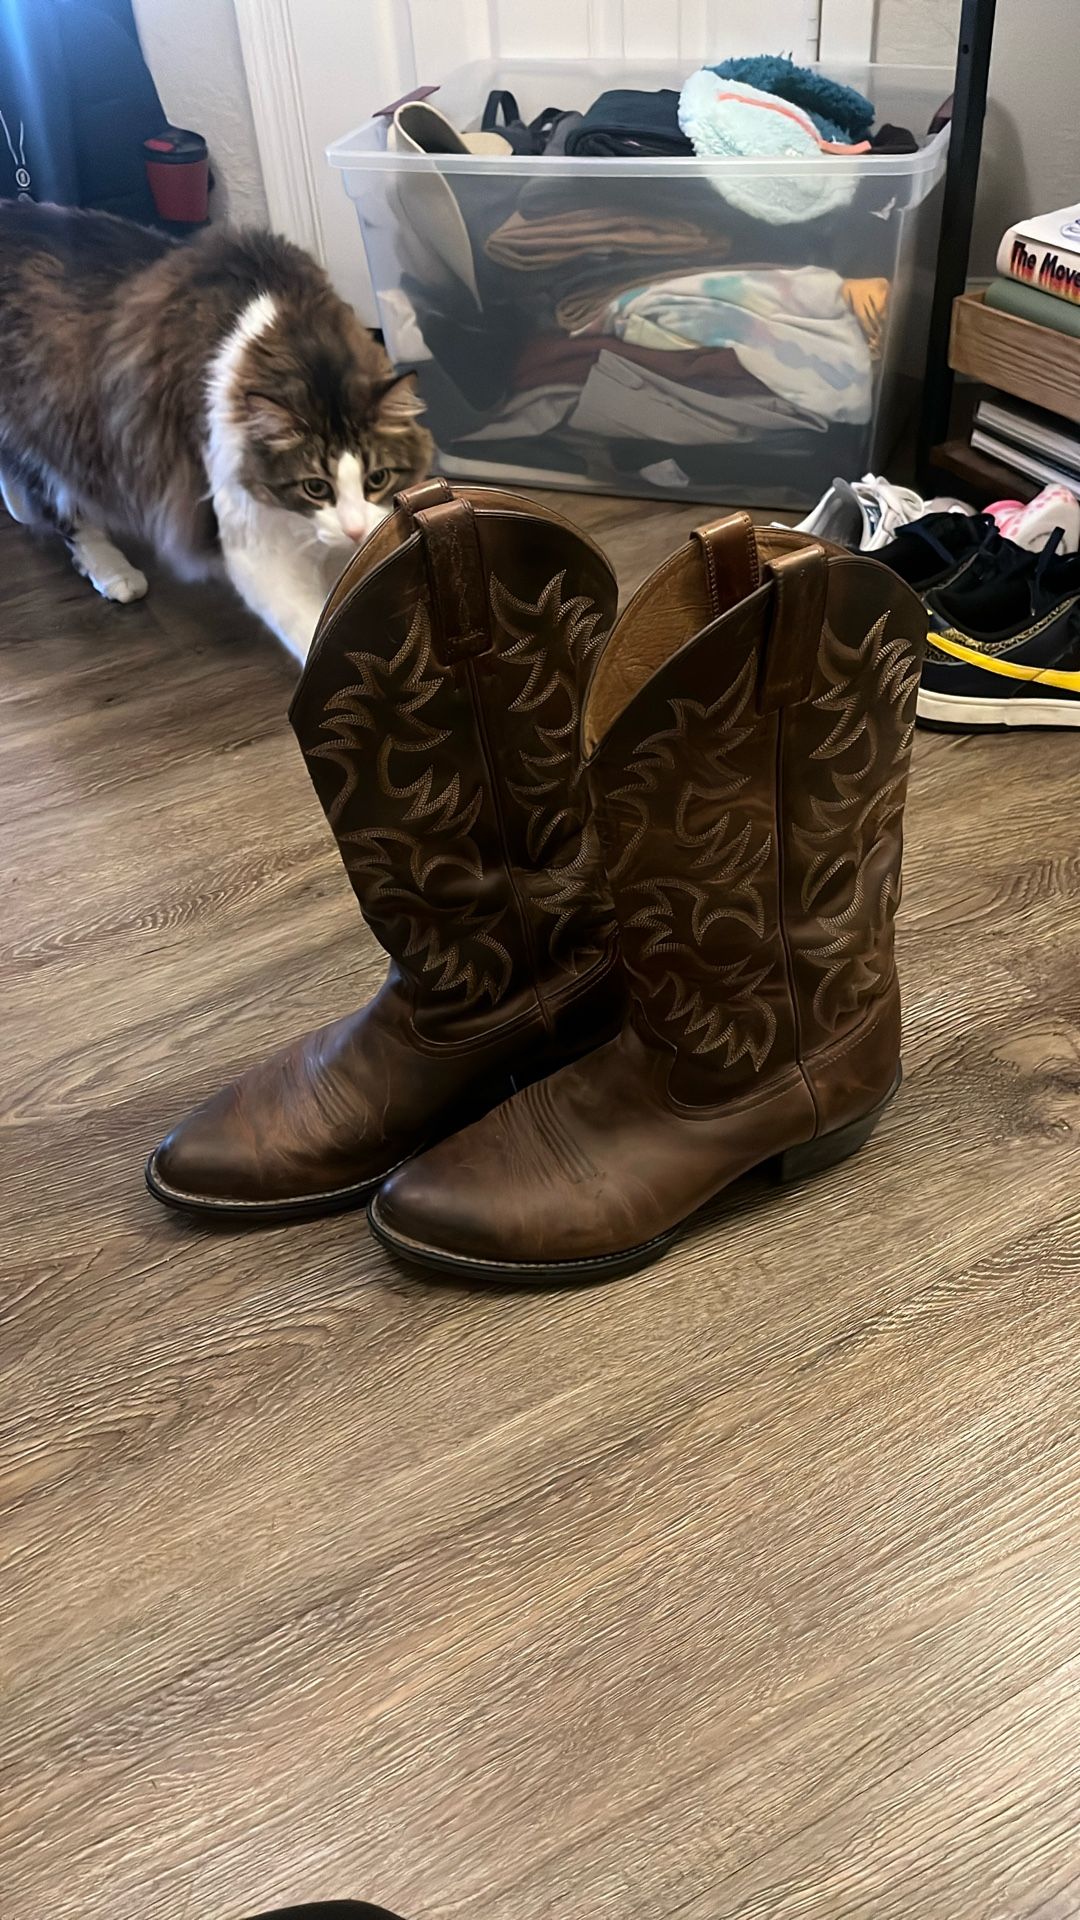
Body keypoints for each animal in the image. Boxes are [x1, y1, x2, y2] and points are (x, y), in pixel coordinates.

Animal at [0, 202, 433, 663]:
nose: (354, 532)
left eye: (378, 478)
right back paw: (115, 572)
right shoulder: (256, 541)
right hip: (51, 432)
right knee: (67, 514)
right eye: (315, 487)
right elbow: (315, 630)